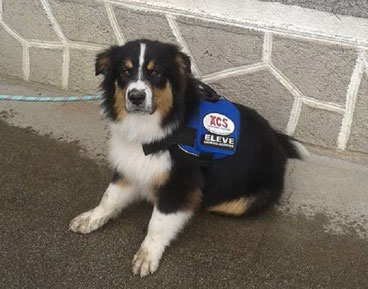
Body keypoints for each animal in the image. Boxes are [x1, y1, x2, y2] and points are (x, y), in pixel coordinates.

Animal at [69, 39, 308, 276]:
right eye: (125, 72)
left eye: (155, 72)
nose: (136, 97)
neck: (155, 127)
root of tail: (277, 142)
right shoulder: (131, 164)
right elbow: (110, 197)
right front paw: (91, 218)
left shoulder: (181, 181)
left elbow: (158, 222)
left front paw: (148, 255)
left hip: (244, 201)